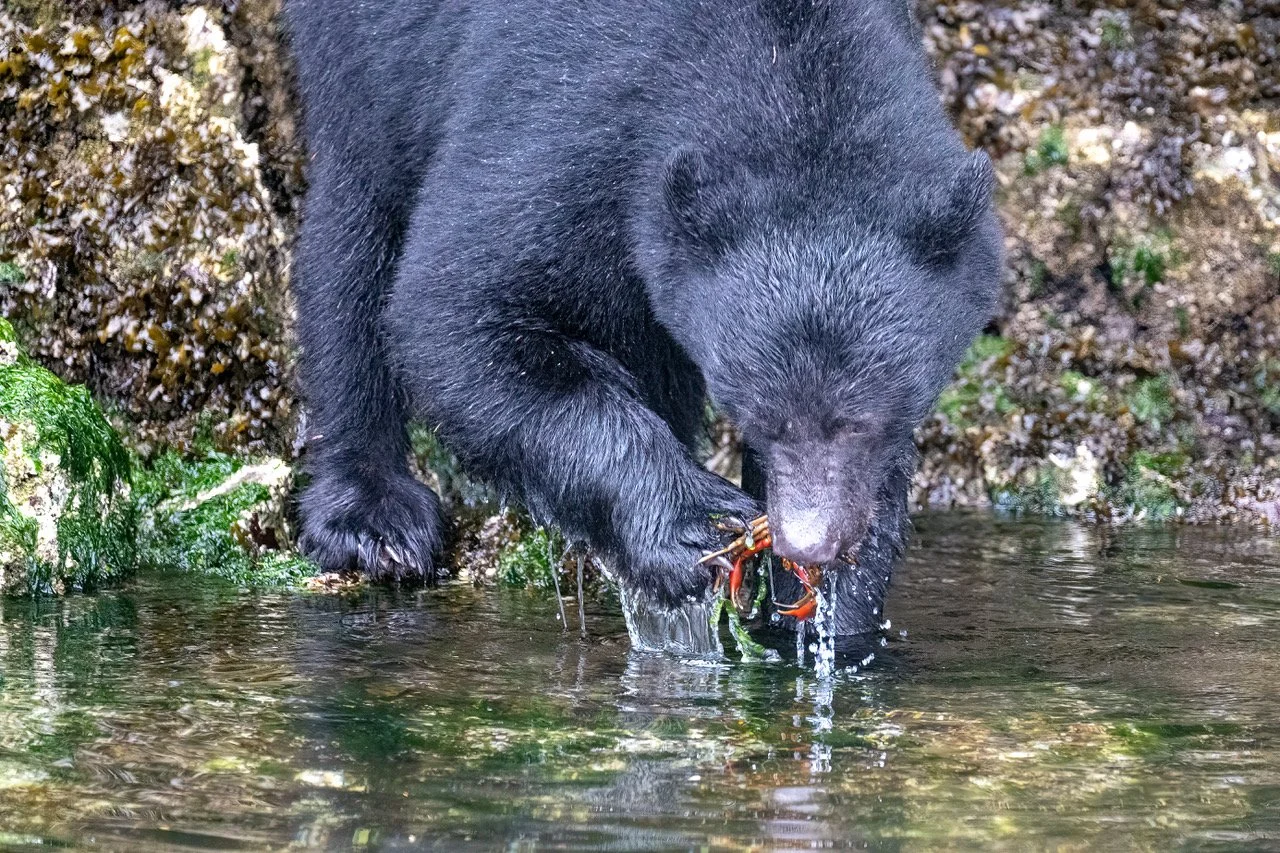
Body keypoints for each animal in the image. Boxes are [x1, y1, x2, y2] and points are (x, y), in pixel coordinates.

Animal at [285, 0, 1002, 637]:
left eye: (861, 421)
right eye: (762, 419)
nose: (809, 542)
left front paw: (837, 604)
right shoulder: (573, 118)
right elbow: (454, 306)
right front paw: (690, 529)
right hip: (367, 52)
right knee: (354, 230)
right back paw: (371, 514)